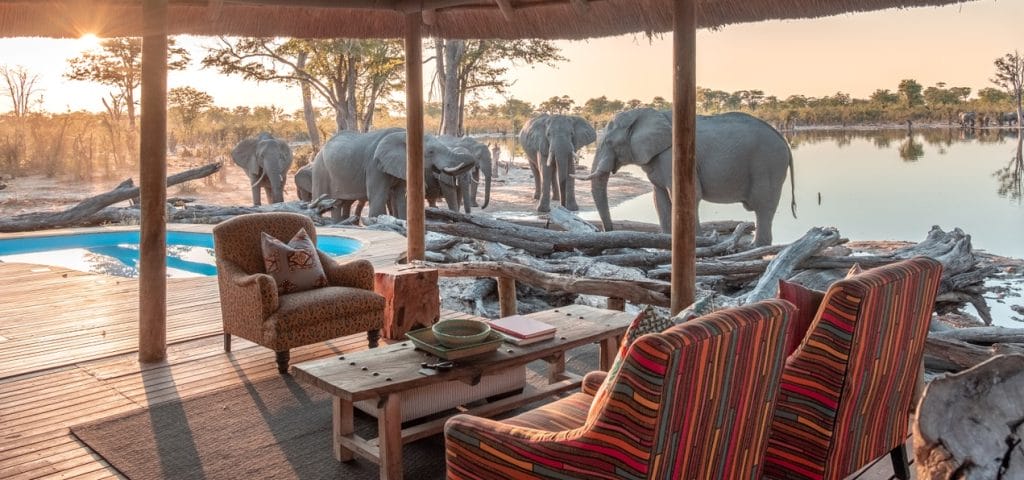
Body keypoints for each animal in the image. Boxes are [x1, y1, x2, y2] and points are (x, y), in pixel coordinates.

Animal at [311, 129, 477, 220]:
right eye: (430, 152)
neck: (403, 134)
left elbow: (401, 197)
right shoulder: (374, 165)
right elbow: (378, 197)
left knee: (339, 203)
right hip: (320, 171)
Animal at [577, 108, 794, 247]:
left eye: (609, 142)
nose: (608, 232)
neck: (643, 113)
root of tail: (784, 140)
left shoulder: (672, 156)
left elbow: (687, 195)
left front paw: (698, 242)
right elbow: (659, 198)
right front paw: (666, 242)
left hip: (768, 165)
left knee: (763, 207)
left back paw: (756, 247)